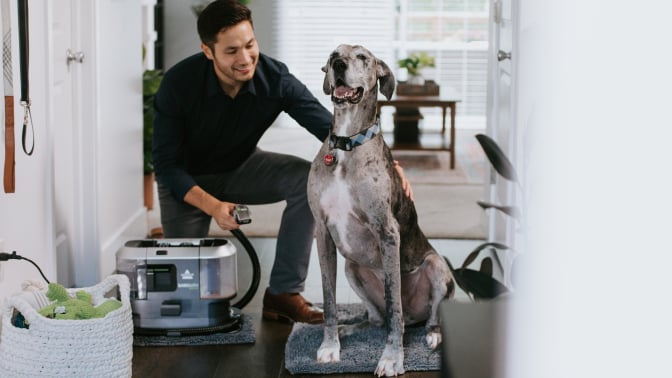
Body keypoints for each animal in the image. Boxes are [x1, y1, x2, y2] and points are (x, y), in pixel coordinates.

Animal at [306, 44, 454, 376]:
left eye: (363, 57)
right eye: (333, 53)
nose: (338, 64)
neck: (347, 144)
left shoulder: (388, 232)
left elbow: (393, 301)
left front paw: (392, 358)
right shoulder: (321, 230)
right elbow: (329, 300)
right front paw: (331, 345)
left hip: (437, 267)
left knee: (424, 316)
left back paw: (432, 336)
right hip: (352, 267)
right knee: (376, 318)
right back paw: (351, 328)